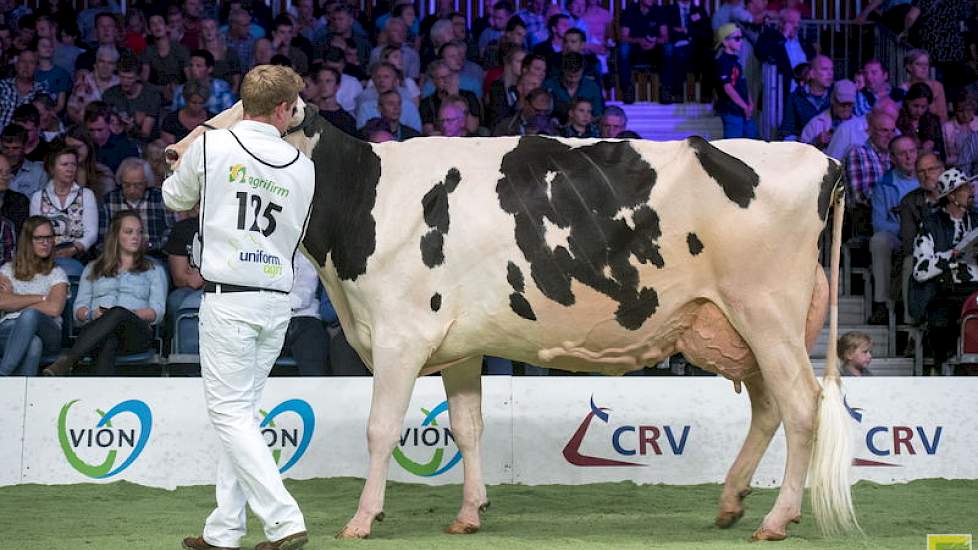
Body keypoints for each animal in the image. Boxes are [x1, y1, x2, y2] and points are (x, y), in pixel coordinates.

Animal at [168, 102, 856, 544]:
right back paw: (732, 503)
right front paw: (470, 513)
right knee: (768, 406)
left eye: (246, 117)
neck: (365, 198)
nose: (172, 150)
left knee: (800, 406)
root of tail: (823, 161)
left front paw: (363, 520)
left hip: (766, 312)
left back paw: (776, 519)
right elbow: (468, 428)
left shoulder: (398, 335)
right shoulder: (461, 347)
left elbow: (380, 429)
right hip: (743, 325)